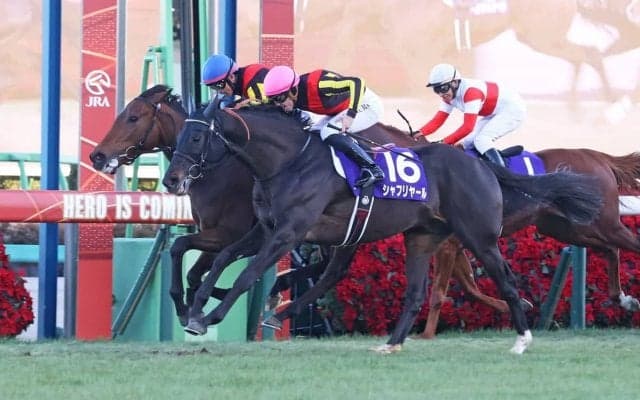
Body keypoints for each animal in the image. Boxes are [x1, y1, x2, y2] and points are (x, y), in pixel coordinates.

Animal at [162, 104, 603, 354]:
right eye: (179, 132)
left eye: (197, 135)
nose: (171, 179)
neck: (289, 161)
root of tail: (480, 162)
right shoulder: (266, 229)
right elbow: (223, 257)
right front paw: (194, 307)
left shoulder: (289, 232)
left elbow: (246, 273)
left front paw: (207, 315)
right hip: (421, 237)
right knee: (413, 292)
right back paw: (389, 344)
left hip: (479, 237)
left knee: (508, 281)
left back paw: (522, 340)